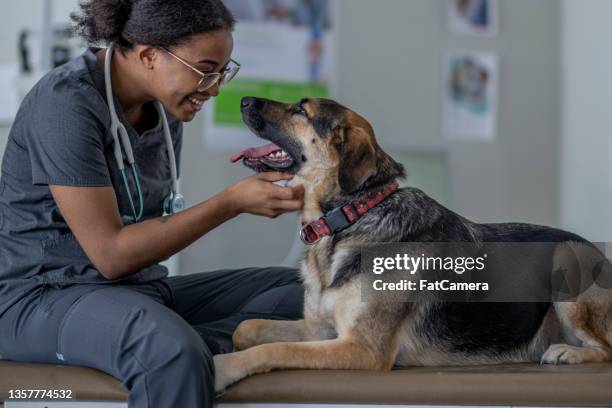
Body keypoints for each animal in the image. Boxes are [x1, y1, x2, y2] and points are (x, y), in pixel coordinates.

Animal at [213, 97, 608, 394]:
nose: (243, 99)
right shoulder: (321, 330)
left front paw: (222, 367)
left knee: (607, 348)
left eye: (301, 110)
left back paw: (567, 353)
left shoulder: (362, 349)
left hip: (568, 254)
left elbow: (273, 349)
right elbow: (247, 328)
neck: (352, 215)